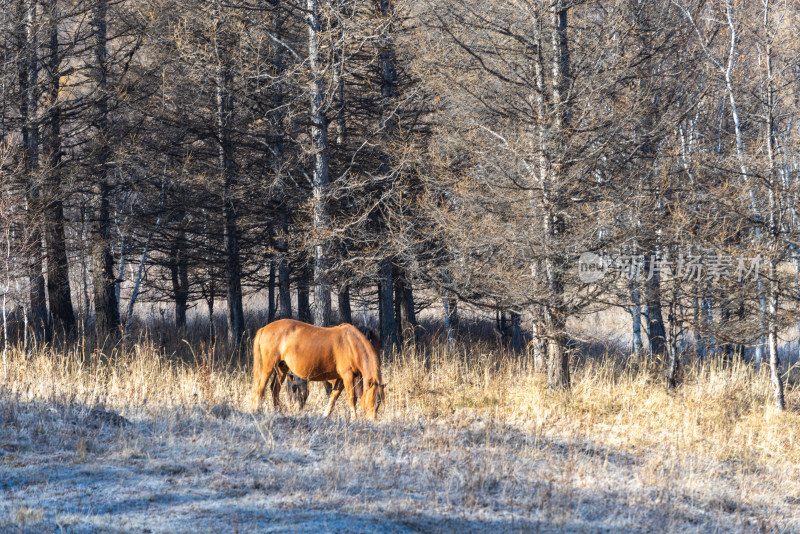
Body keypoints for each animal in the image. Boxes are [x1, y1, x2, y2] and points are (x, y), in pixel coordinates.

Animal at [252, 320, 386, 420]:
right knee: (259, 388)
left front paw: (325, 415)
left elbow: (333, 396)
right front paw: (354, 418)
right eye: (370, 401)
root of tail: (264, 328)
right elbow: (351, 397)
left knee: (275, 388)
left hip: (282, 368)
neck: (351, 344)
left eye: (379, 403)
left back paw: (278, 411)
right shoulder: (347, 376)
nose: (372, 420)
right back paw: (257, 410)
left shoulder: (341, 379)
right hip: (268, 366)